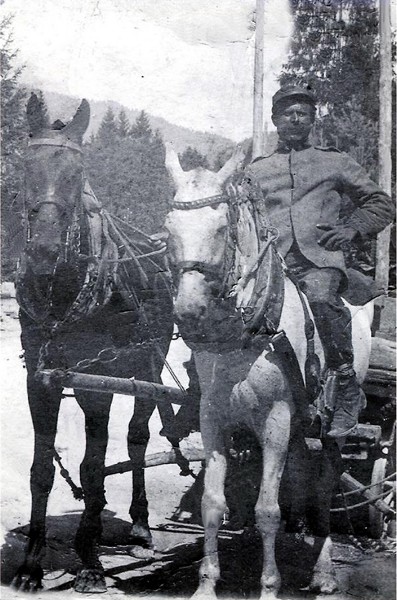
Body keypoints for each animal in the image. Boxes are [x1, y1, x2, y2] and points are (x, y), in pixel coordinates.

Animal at [11, 96, 176, 592]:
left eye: (77, 172)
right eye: (24, 166)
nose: (44, 252)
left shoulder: (95, 382)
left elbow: (91, 463)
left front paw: (89, 562)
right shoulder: (41, 381)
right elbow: (43, 470)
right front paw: (30, 563)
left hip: (146, 369)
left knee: (137, 438)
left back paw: (138, 526)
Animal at [162, 143, 372, 596]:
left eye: (221, 228)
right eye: (169, 228)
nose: (188, 312)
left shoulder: (275, 418)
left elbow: (268, 510)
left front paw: (269, 586)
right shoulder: (213, 419)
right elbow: (212, 503)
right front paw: (206, 584)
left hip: (326, 429)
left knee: (322, 487)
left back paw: (324, 573)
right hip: (298, 423)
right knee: (301, 478)